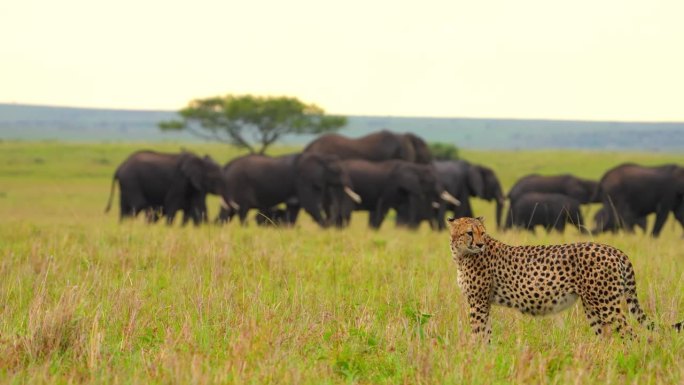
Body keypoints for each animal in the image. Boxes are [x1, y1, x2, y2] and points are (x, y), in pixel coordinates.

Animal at [448, 216, 684, 342]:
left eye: (483, 232)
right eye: (469, 233)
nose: (480, 244)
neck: (462, 255)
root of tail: (614, 250)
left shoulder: (478, 302)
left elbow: (477, 332)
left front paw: (476, 357)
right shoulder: (484, 302)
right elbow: (486, 332)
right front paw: (486, 354)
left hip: (606, 305)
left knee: (631, 334)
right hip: (593, 306)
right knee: (605, 337)